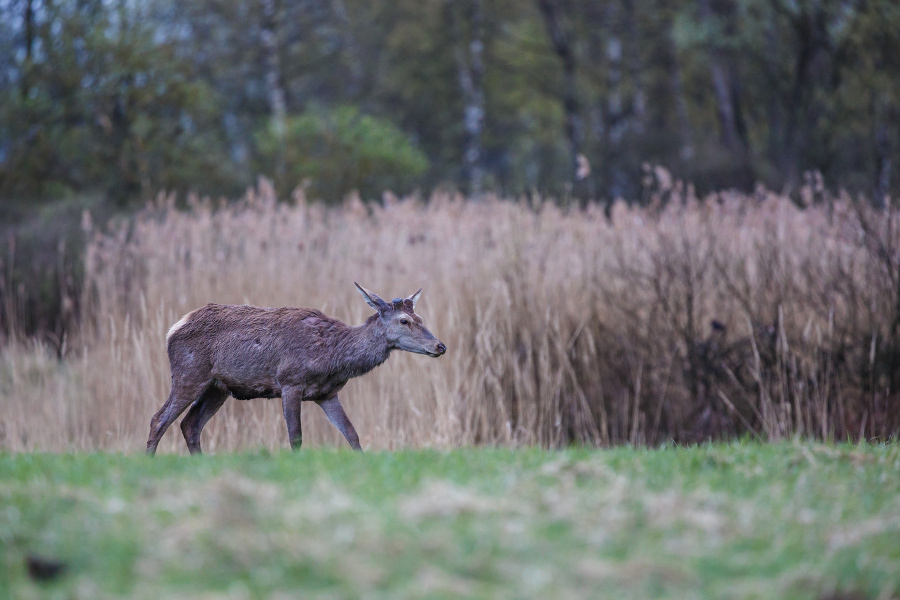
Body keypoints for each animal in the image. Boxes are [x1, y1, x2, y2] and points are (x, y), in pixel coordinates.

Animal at [145, 282, 450, 454]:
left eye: (420, 318)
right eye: (404, 321)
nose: (440, 346)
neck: (331, 357)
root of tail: (173, 329)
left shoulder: (327, 393)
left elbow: (352, 434)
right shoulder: (290, 381)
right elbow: (296, 437)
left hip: (217, 387)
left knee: (190, 424)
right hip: (189, 372)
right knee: (159, 419)